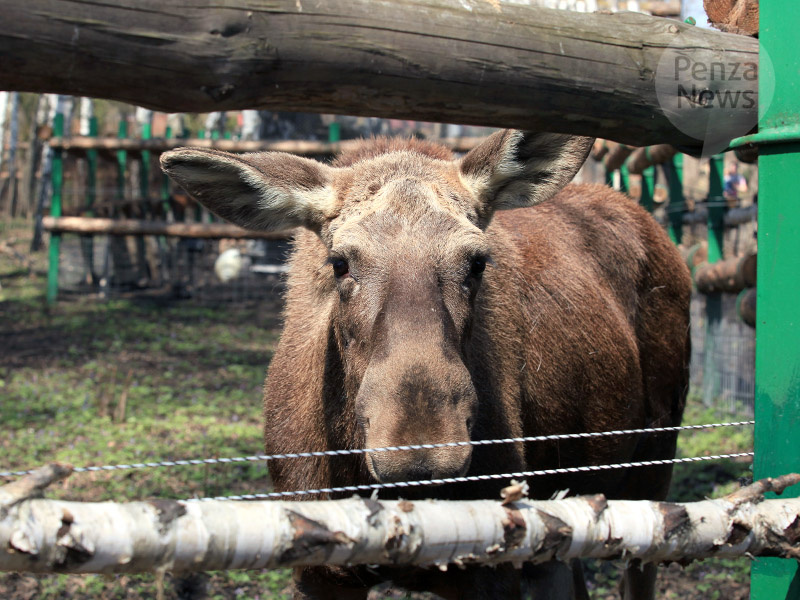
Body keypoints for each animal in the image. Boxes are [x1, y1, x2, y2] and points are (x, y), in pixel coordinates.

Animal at [161, 132, 688, 600]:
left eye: (477, 261)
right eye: (339, 262)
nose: (421, 455)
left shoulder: (489, 569)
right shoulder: (319, 571)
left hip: (655, 464)